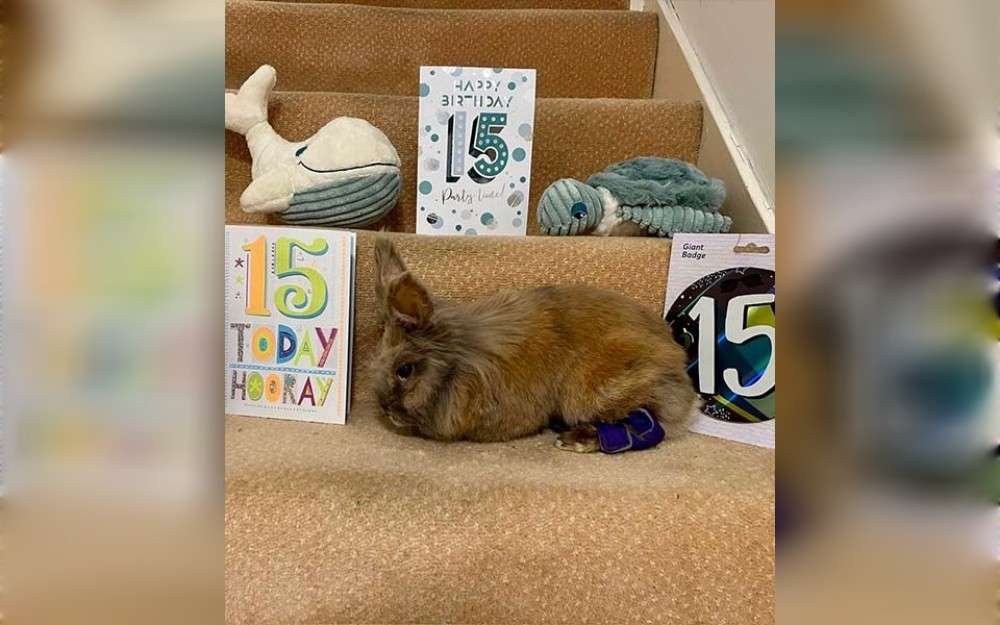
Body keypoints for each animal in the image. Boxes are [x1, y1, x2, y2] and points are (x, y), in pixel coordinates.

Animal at [371, 238, 698, 452]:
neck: (458, 361)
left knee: (647, 422)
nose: (386, 410)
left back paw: (576, 440)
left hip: (596, 388)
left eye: (404, 370)